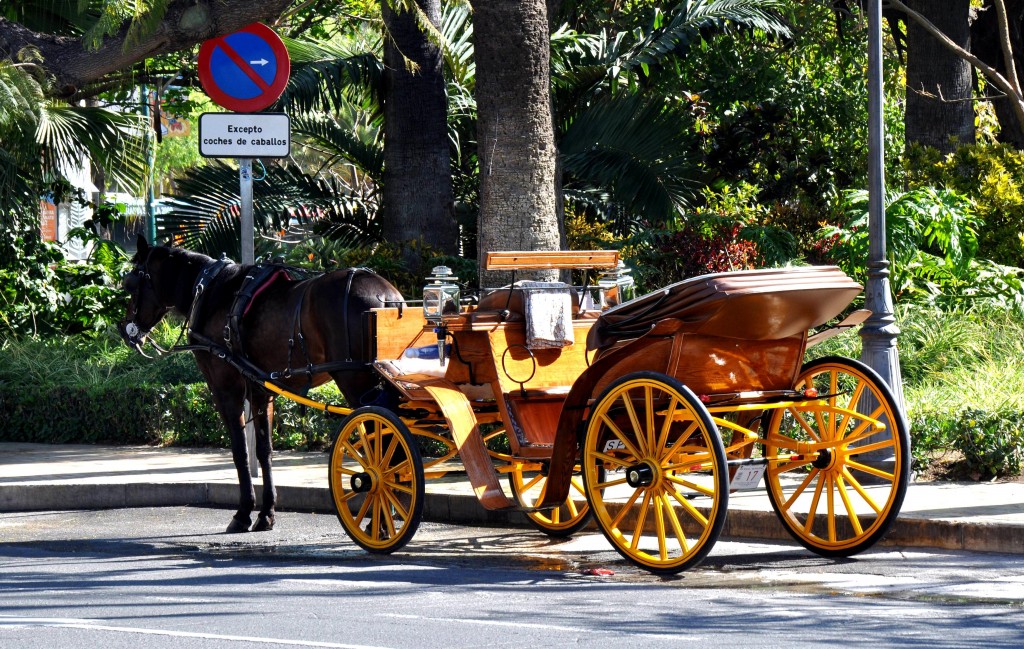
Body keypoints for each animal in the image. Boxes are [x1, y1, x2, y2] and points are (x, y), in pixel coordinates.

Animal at [118, 236, 403, 532]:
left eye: (131, 283)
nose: (125, 328)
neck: (211, 292)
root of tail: (387, 298)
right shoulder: (261, 389)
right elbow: (264, 450)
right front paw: (266, 512)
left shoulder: (225, 387)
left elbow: (240, 450)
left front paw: (243, 512)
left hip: (355, 382)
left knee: (384, 446)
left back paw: (381, 516)